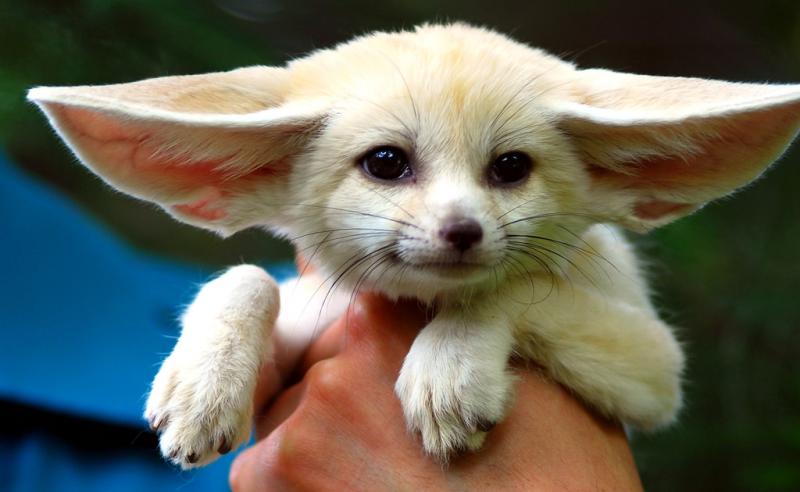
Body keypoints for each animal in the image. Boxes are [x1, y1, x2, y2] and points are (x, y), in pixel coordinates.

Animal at [28, 23, 800, 469]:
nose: (462, 232)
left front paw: (449, 370)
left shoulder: (657, 370)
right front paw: (202, 388)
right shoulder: (310, 315)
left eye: (511, 168)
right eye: (386, 163)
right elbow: (247, 275)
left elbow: (515, 282)